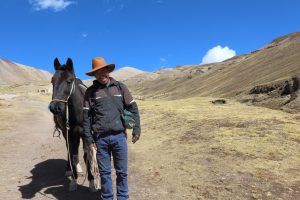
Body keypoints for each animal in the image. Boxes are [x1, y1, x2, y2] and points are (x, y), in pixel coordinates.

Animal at [48, 58, 96, 192]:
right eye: (52, 81)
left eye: (69, 81)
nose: (55, 107)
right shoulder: (69, 134)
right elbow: (73, 155)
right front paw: (73, 182)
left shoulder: (85, 134)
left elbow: (87, 156)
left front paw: (91, 183)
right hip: (67, 133)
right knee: (69, 150)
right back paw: (70, 169)